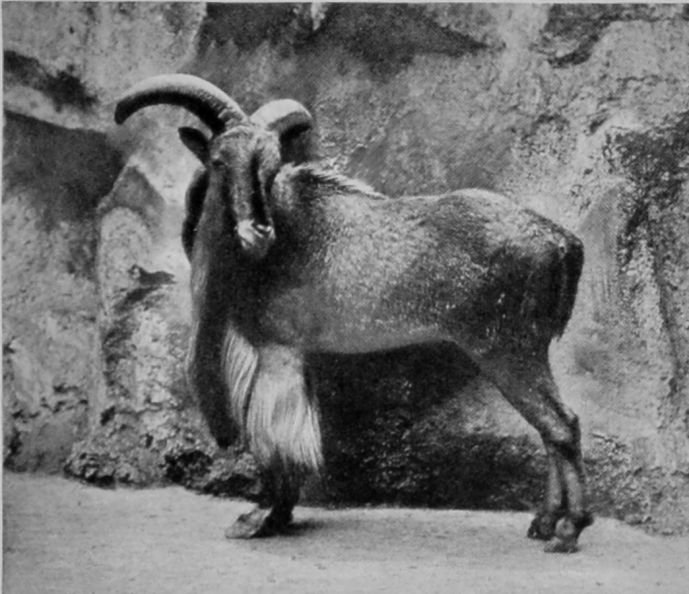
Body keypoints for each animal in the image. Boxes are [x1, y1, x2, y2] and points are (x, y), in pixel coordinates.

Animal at [115, 74, 592, 553]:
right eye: (218, 160)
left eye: (270, 165)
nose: (258, 231)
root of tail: (561, 241)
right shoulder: (292, 355)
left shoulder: (278, 350)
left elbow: (275, 438)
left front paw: (265, 518)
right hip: (526, 351)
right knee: (553, 428)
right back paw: (545, 522)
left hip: (507, 350)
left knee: (561, 426)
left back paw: (569, 529)